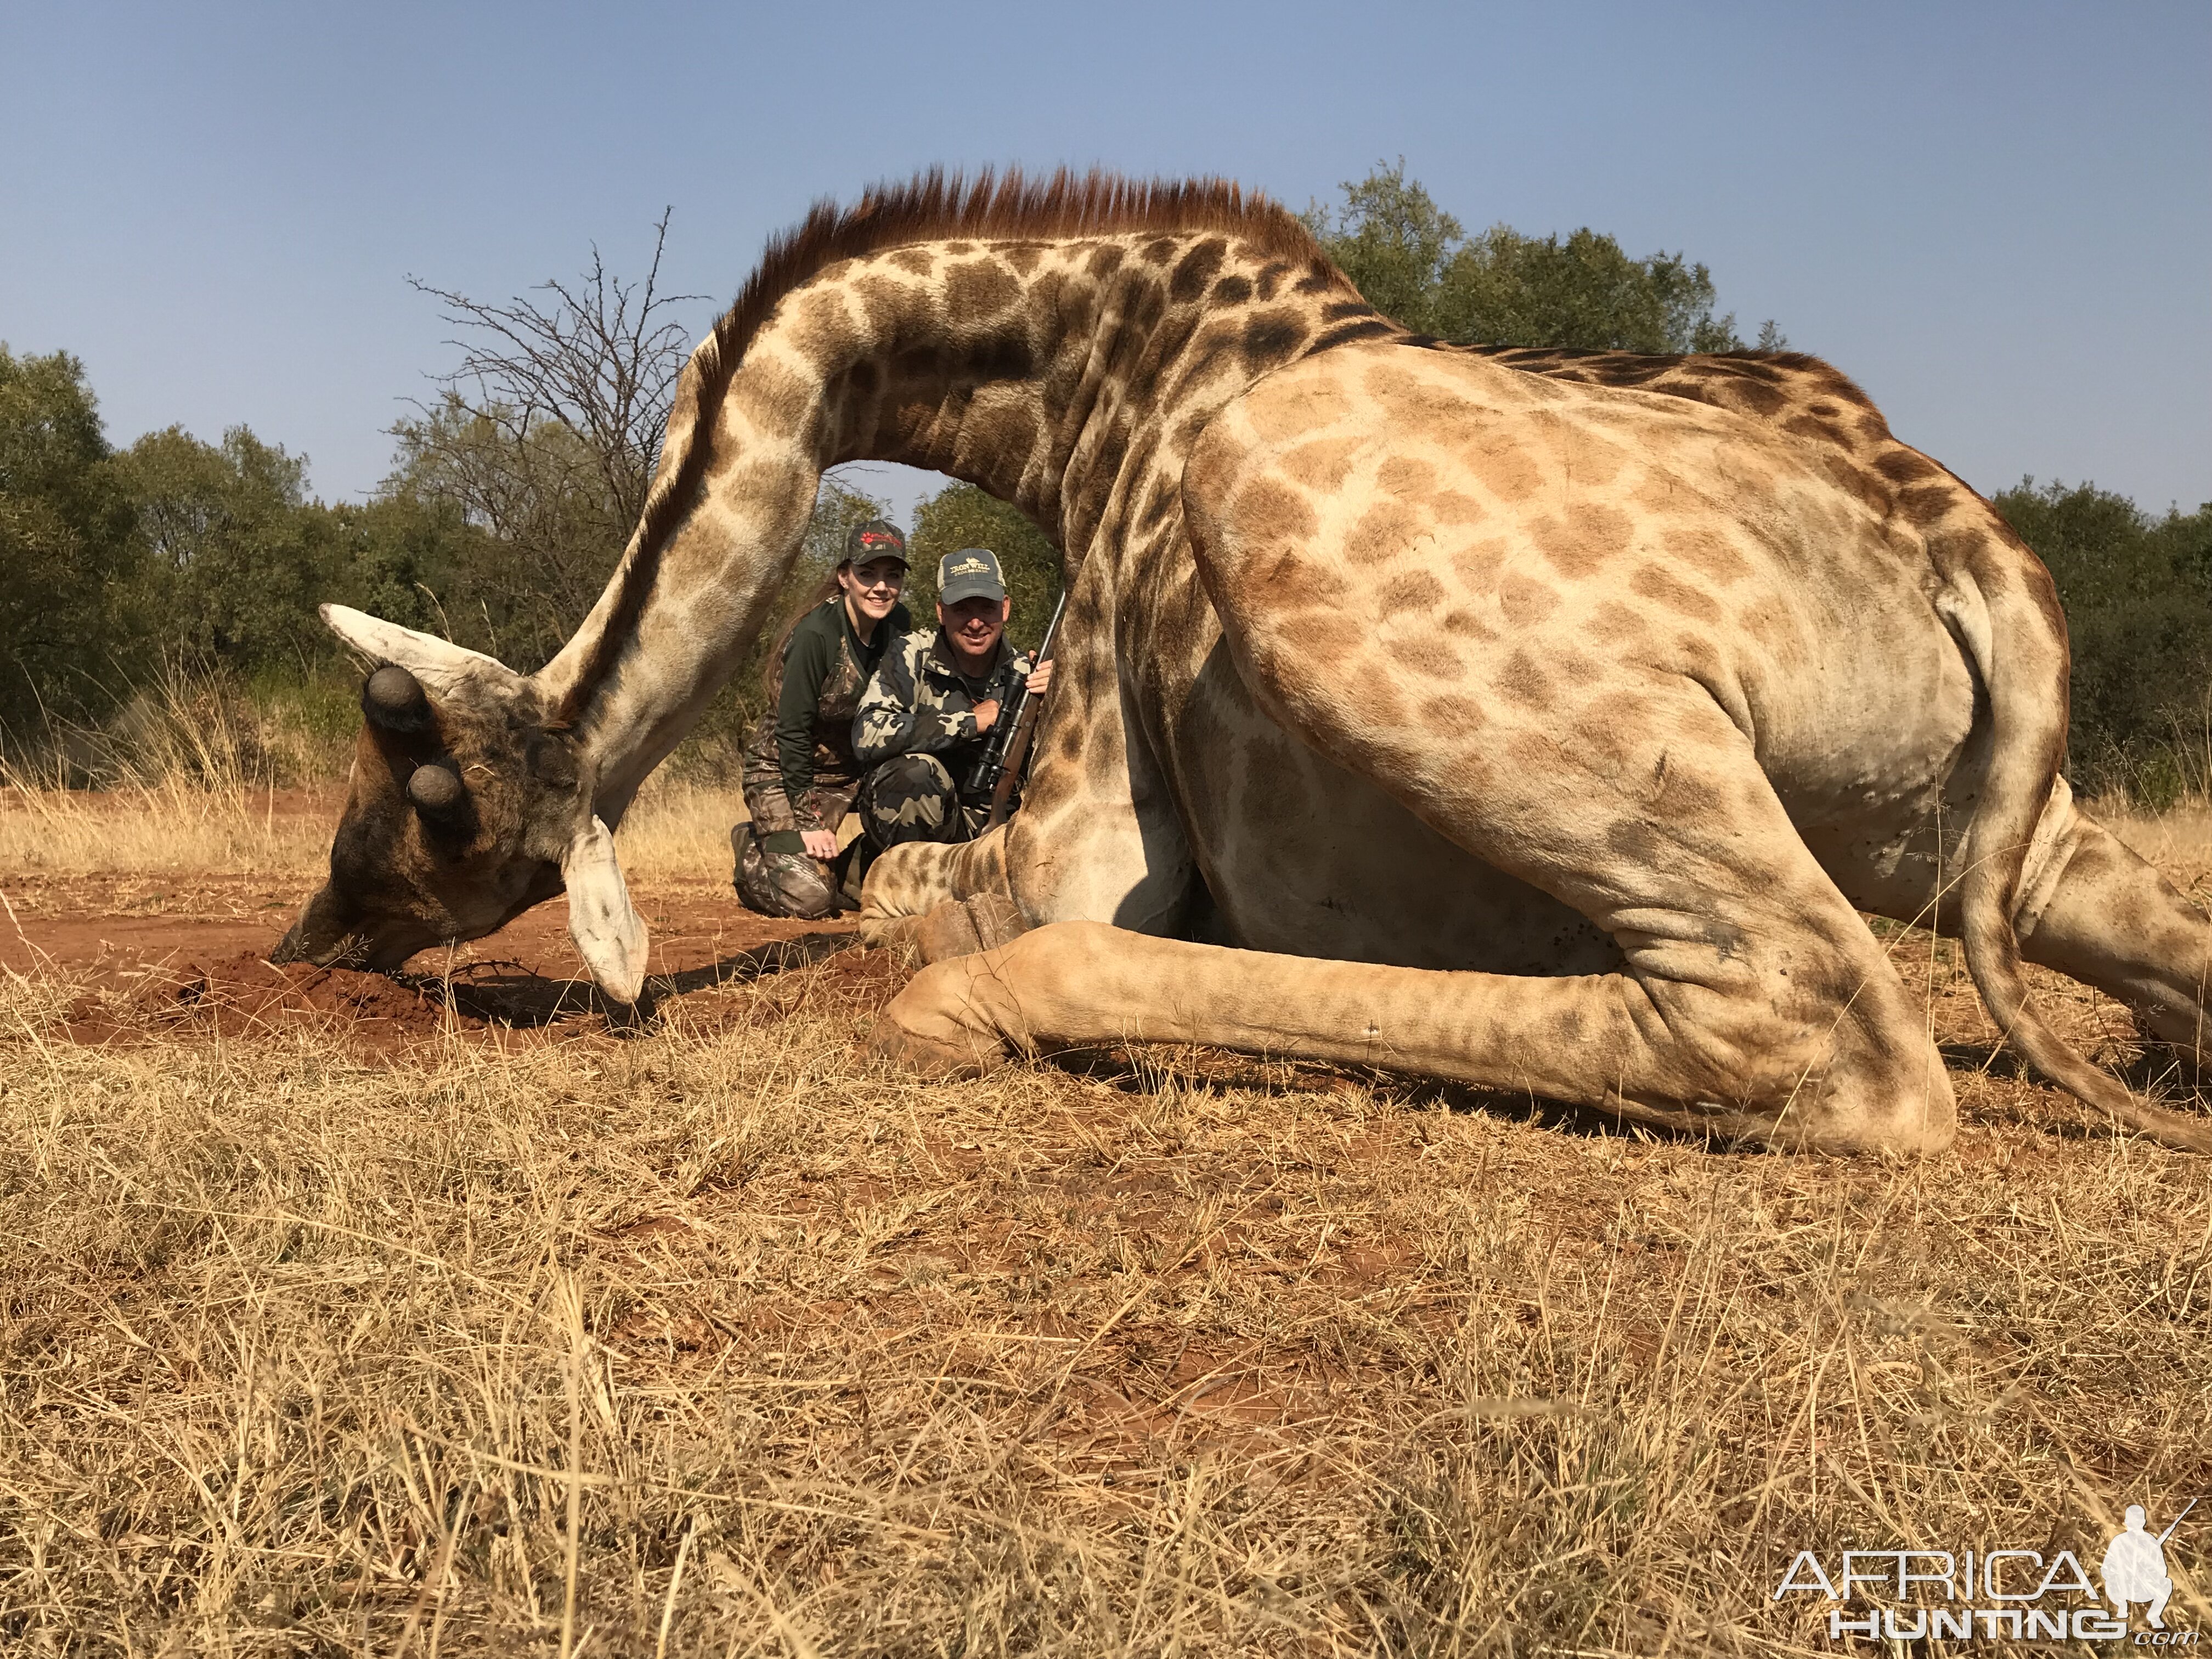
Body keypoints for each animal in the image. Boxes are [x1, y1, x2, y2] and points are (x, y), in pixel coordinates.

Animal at [272, 169, 2212, 1159]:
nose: (305, 945)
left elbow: (899, 898)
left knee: (1825, 1036)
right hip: (1977, 827)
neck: (1086, 388)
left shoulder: (1080, 847)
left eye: (428, 803)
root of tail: (1953, 539)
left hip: (1296, 534)